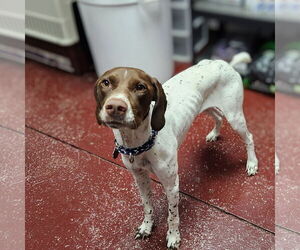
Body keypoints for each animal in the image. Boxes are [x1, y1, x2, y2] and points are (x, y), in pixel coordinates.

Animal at [94, 51, 258, 249]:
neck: (140, 143)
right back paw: (214, 134)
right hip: (208, 108)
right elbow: (147, 206)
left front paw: (173, 237)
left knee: (249, 138)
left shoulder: (172, 185)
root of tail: (225, 63)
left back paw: (252, 164)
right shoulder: (140, 178)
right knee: (218, 117)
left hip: (234, 116)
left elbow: (172, 216)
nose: (116, 106)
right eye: (106, 83)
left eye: (140, 87)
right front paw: (146, 227)